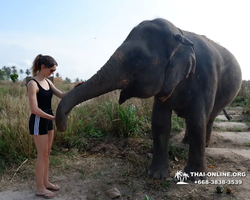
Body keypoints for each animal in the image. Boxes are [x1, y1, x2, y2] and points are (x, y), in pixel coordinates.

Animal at [55, 18, 241, 179]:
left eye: (140, 59)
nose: (64, 127)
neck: (181, 34)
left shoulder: (205, 80)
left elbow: (196, 121)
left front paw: (194, 178)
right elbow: (159, 122)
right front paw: (156, 175)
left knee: (207, 118)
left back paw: (205, 144)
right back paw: (185, 141)